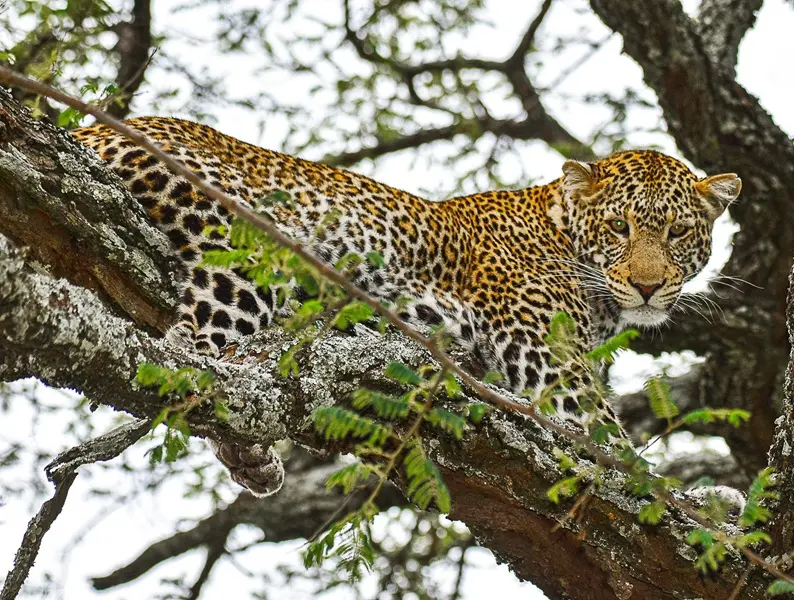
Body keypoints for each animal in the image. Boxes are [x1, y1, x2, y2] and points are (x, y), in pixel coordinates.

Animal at [72, 117, 741, 496]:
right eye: (620, 228)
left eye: (678, 232)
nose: (650, 287)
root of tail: (87, 129)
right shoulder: (545, 354)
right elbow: (609, 440)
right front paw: (704, 505)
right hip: (247, 250)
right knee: (189, 356)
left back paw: (253, 459)